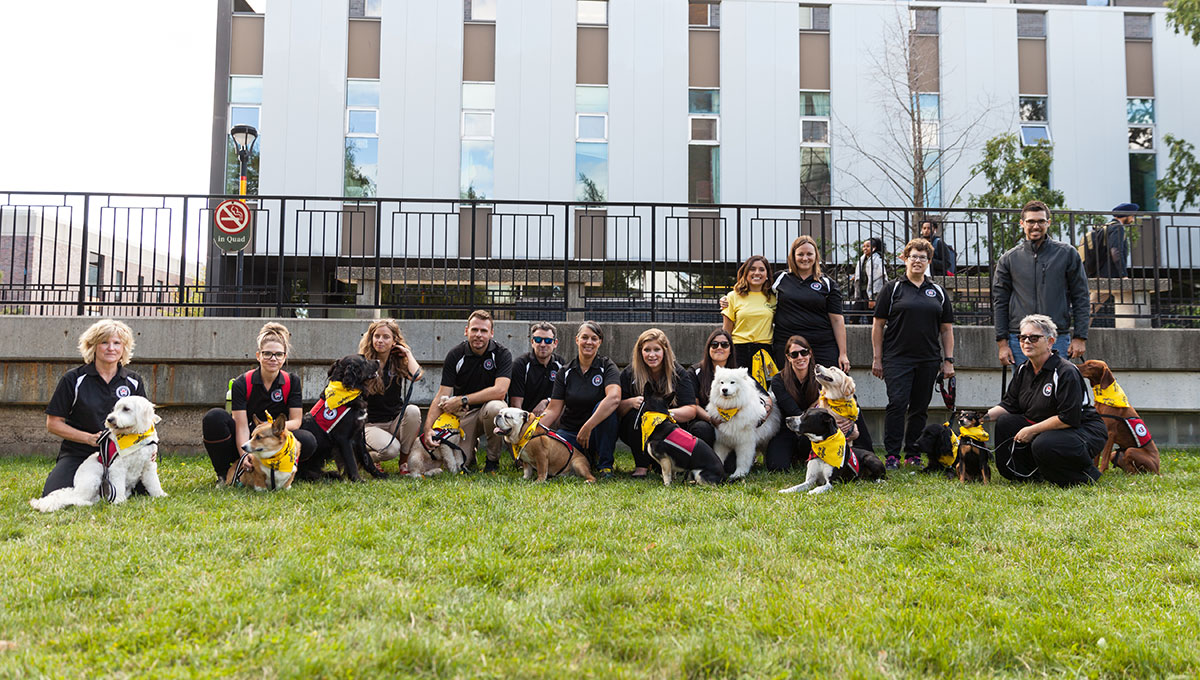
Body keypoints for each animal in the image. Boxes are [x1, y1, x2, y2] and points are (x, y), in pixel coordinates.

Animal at [30, 395, 165, 513]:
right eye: (115, 409)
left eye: (126, 409)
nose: (110, 419)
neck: (133, 436)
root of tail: (76, 488)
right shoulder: (117, 468)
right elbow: (118, 486)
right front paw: (119, 501)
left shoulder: (149, 465)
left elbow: (154, 482)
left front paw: (159, 495)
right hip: (93, 479)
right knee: (76, 498)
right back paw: (87, 503)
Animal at [297, 354, 376, 482]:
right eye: (364, 361)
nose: (378, 361)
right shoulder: (343, 438)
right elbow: (351, 461)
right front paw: (357, 479)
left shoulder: (358, 435)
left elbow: (367, 459)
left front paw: (380, 475)